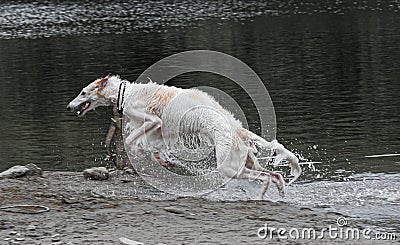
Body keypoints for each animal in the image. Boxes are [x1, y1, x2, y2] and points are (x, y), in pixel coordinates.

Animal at [68, 74, 300, 197]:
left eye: (83, 92)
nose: (69, 107)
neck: (126, 93)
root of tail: (237, 129)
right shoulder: (161, 129)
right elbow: (154, 147)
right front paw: (163, 160)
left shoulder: (153, 121)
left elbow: (132, 140)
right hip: (246, 161)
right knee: (274, 175)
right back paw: (278, 192)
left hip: (229, 166)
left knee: (266, 177)